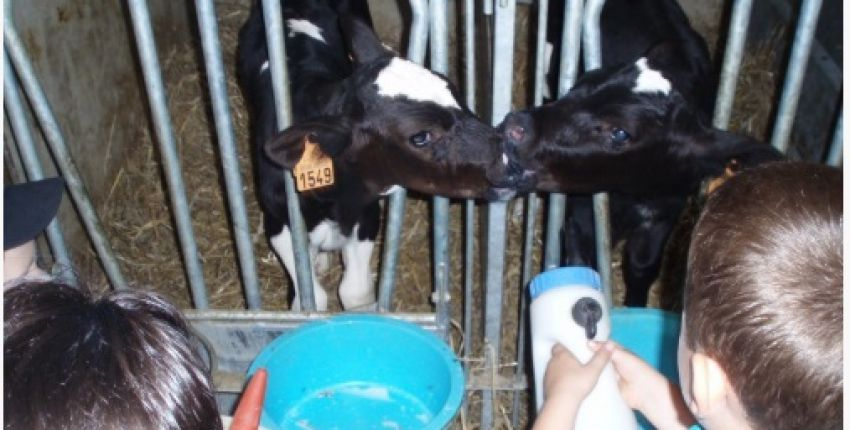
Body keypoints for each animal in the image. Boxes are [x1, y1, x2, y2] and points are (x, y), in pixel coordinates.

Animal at [238, 0, 528, 310]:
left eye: (456, 93)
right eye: (420, 137)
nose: (512, 160)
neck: (336, 201)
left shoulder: (366, 215)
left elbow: (355, 291)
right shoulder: (280, 222)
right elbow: (310, 298)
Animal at [500, 2, 780, 306]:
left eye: (620, 132)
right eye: (579, 83)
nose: (515, 126)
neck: (632, 195)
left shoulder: (665, 210)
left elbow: (641, 266)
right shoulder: (581, 213)